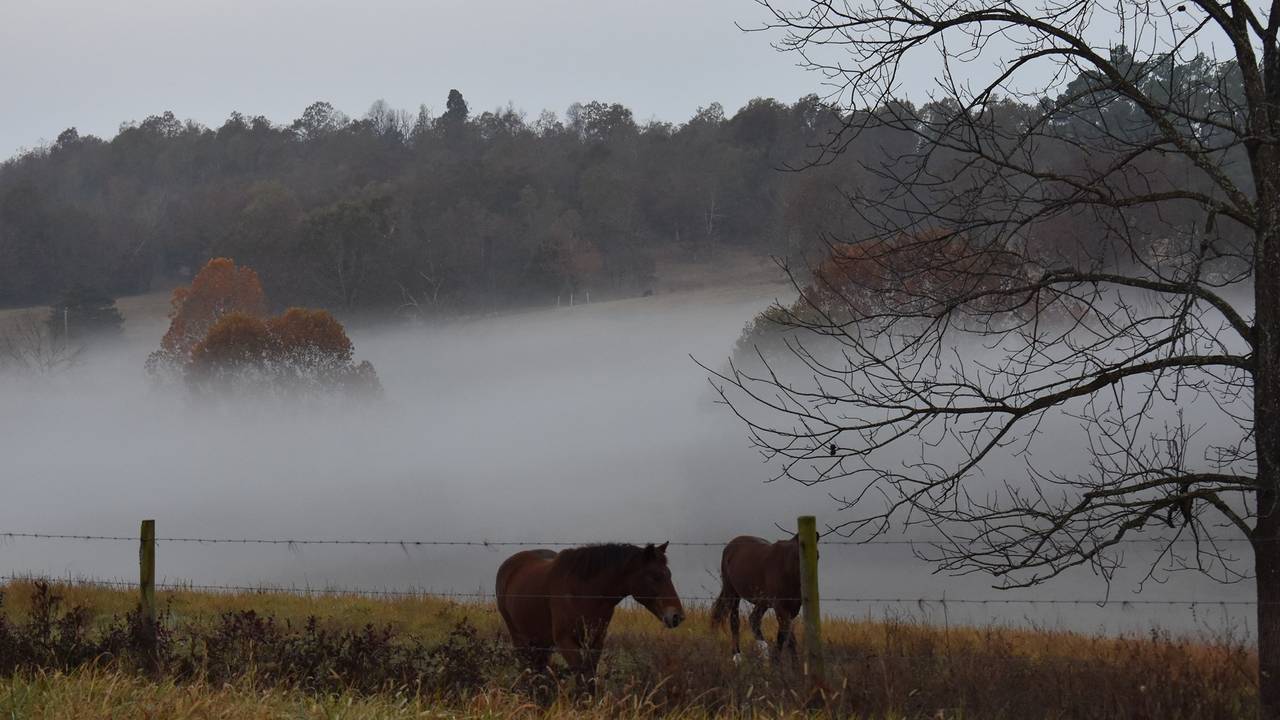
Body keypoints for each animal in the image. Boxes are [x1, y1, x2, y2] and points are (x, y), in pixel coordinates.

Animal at [496, 542, 685, 690]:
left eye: (669, 574)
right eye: (655, 576)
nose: (677, 616)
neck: (584, 592)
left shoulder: (596, 642)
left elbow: (590, 678)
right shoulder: (566, 642)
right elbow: (581, 679)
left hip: (542, 641)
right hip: (518, 636)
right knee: (525, 667)